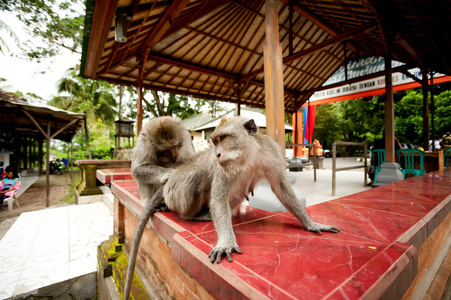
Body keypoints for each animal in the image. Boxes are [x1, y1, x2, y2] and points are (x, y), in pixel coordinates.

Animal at [123, 116, 340, 300]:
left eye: (223, 138)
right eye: (215, 141)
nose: (218, 153)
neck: (247, 157)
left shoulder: (270, 155)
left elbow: (282, 188)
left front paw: (310, 223)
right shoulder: (222, 168)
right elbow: (218, 199)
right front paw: (226, 242)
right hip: (173, 193)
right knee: (196, 174)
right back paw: (191, 216)